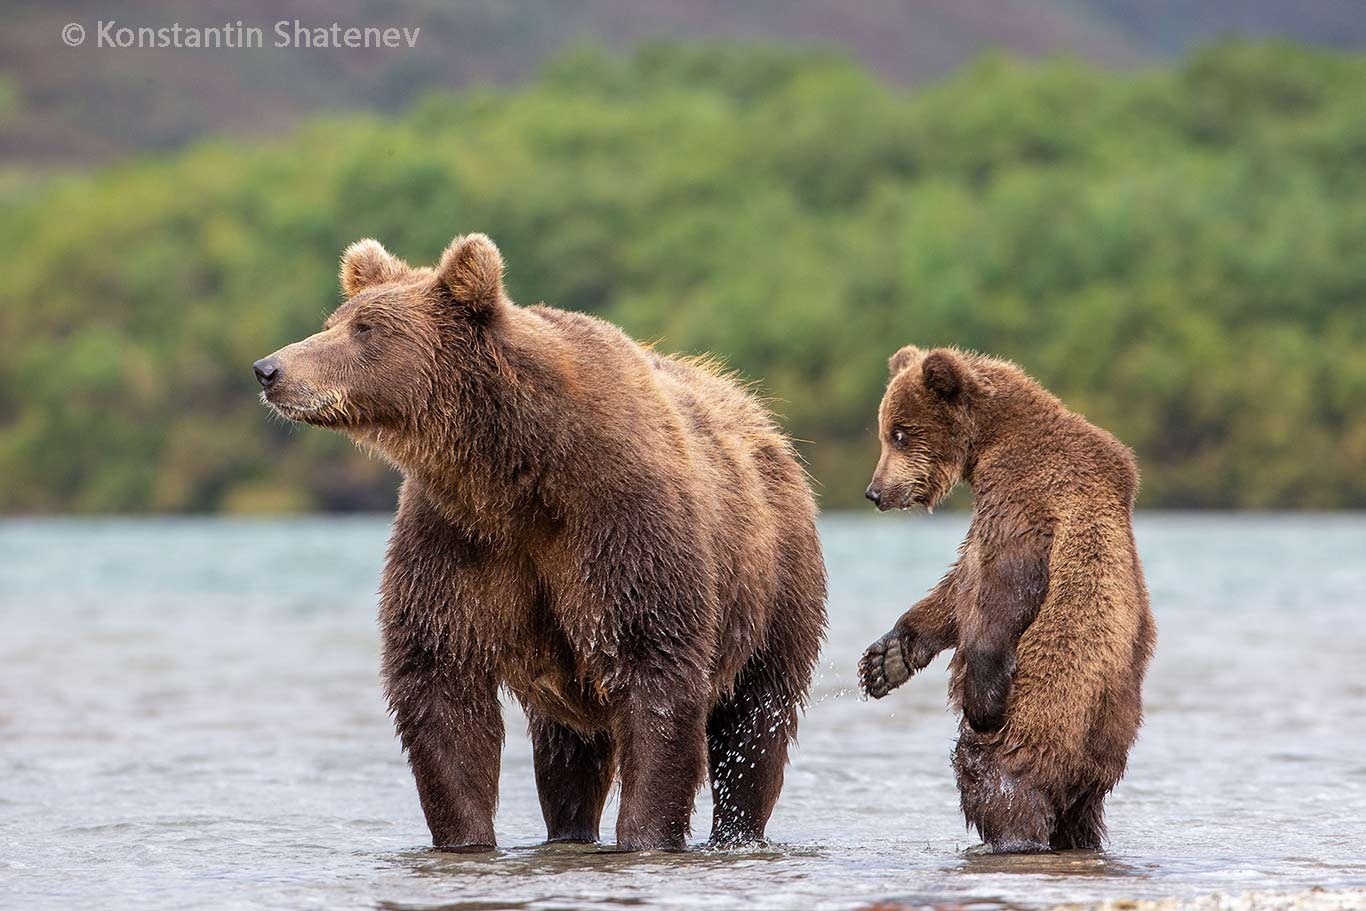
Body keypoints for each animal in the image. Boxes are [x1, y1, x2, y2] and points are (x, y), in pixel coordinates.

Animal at [258, 232, 830, 852]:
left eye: (366, 329)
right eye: (334, 321)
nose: (269, 368)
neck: (517, 473)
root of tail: (763, 421)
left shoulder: (624, 527)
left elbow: (657, 672)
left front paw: (647, 834)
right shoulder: (457, 540)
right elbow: (441, 687)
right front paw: (465, 835)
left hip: (777, 587)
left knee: (756, 726)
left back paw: (738, 828)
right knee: (567, 753)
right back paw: (569, 830)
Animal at [863, 345, 1152, 852]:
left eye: (899, 433)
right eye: (885, 432)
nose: (875, 492)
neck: (991, 439)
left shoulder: (1023, 491)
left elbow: (997, 584)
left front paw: (982, 696)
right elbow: (955, 589)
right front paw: (887, 658)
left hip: (1043, 714)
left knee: (997, 777)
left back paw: (1006, 836)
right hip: (1111, 737)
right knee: (1081, 815)